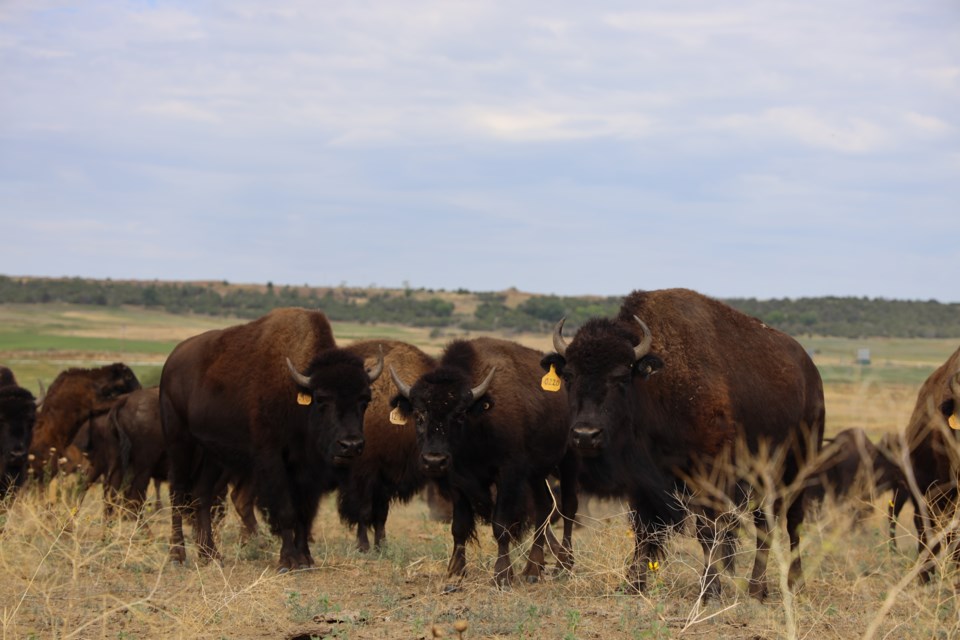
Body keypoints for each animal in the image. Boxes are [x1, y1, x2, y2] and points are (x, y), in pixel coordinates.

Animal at [159, 308, 380, 572]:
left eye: (365, 400)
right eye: (322, 399)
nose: (351, 445)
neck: (296, 393)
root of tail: (171, 361)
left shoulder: (307, 471)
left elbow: (305, 514)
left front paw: (305, 559)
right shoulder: (273, 459)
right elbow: (286, 510)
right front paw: (287, 560)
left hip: (213, 455)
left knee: (201, 495)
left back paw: (211, 556)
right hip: (179, 442)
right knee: (178, 493)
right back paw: (177, 556)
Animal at [336, 338, 436, 552]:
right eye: (420, 414)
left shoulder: (388, 478)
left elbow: (381, 513)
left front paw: (381, 545)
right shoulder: (365, 474)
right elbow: (364, 510)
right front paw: (363, 546)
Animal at [390, 338, 576, 588]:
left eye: (459, 415)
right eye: (419, 415)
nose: (434, 460)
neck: (478, 420)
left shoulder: (507, 475)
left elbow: (501, 525)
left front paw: (502, 576)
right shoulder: (457, 481)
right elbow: (459, 527)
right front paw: (455, 571)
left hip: (569, 461)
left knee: (569, 509)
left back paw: (563, 566)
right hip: (537, 475)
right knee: (544, 507)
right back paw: (532, 570)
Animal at [548, 290, 824, 600]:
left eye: (620, 377)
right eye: (568, 376)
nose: (585, 434)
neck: (655, 385)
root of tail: (811, 373)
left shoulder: (708, 475)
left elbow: (707, 530)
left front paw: (709, 589)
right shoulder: (642, 482)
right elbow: (644, 530)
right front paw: (633, 583)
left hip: (799, 465)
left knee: (792, 521)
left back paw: (793, 583)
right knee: (764, 524)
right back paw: (757, 589)